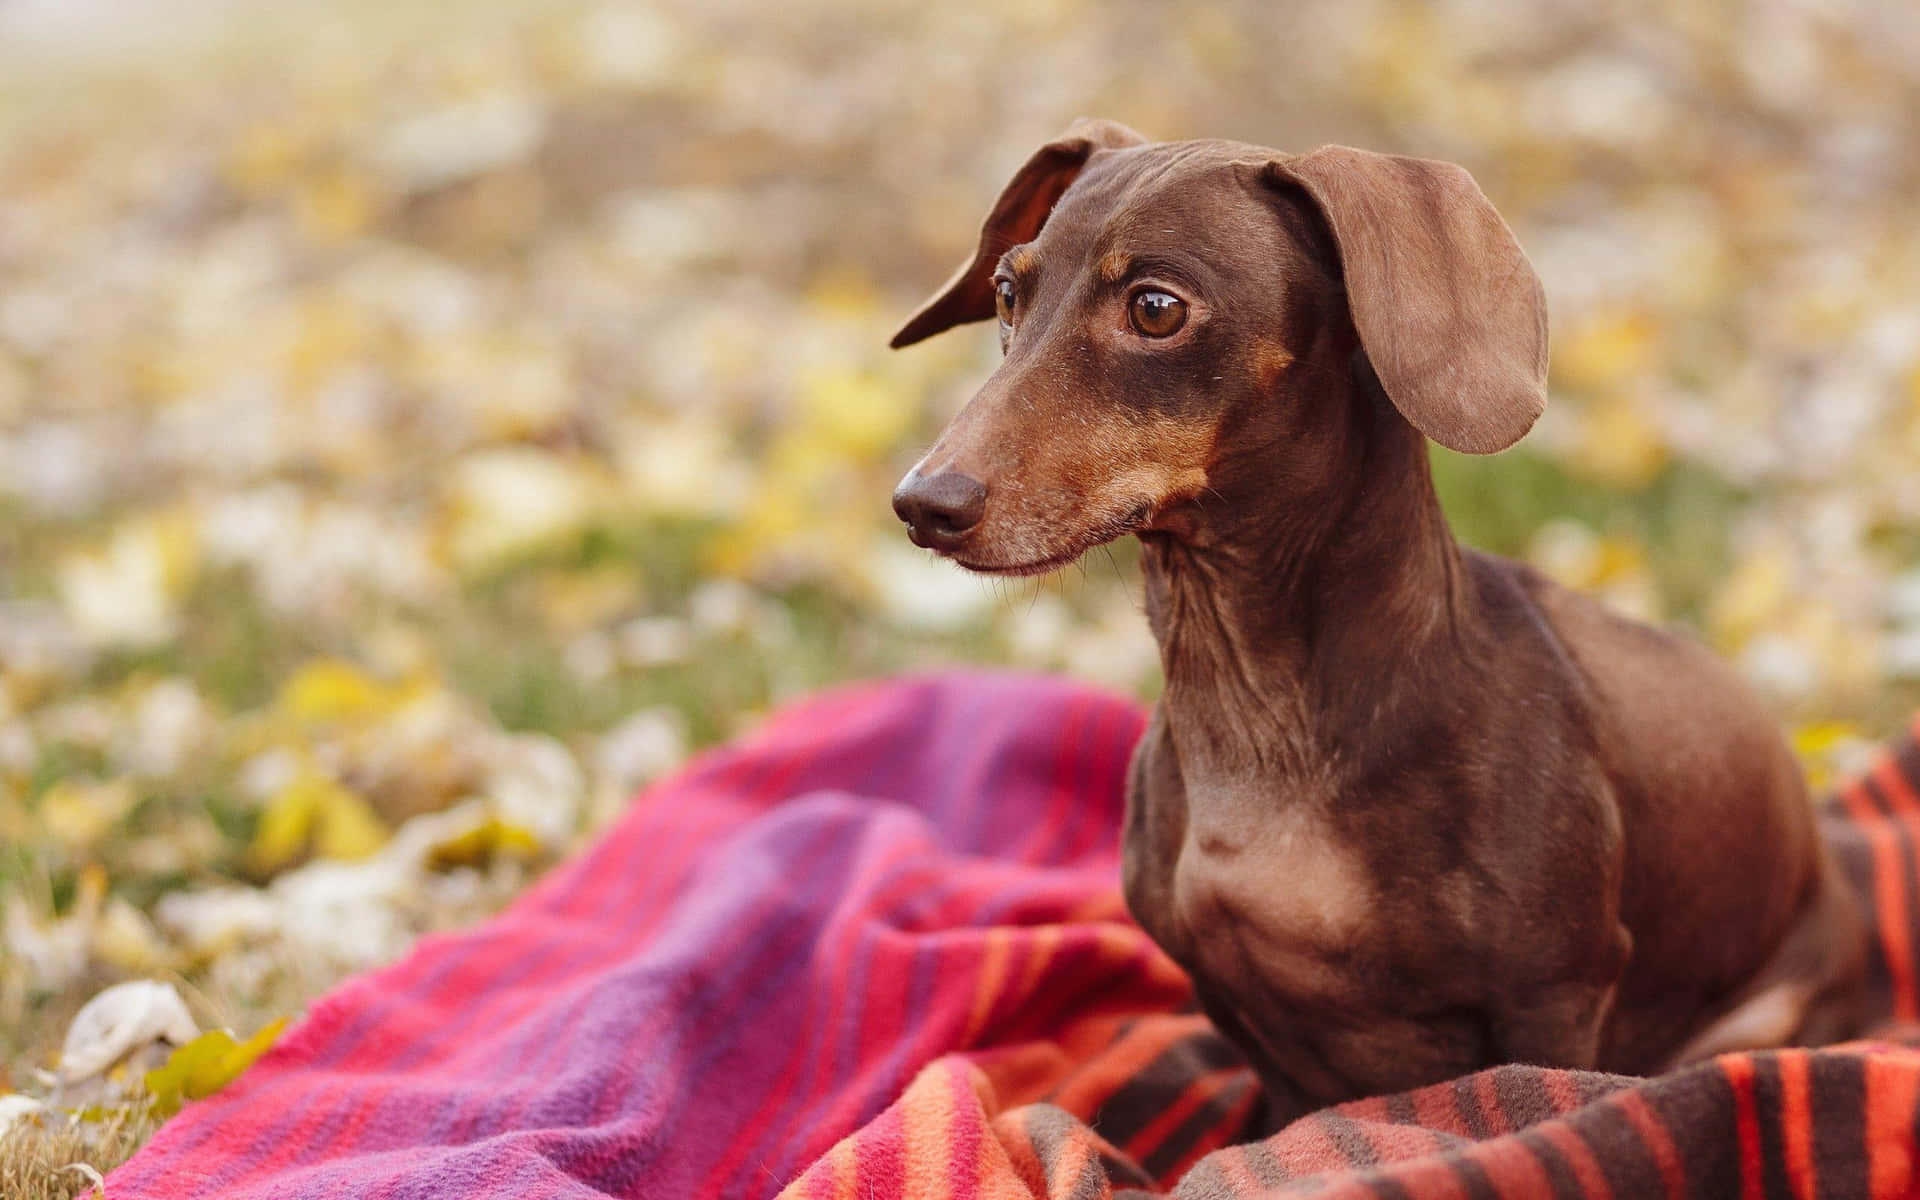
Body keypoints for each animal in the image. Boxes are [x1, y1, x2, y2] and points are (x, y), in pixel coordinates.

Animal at [890, 121, 1866, 1121]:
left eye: (1156, 309)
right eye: (1009, 292)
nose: (923, 504)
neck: (1260, 717)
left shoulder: (1556, 996)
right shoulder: (1244, 1021)